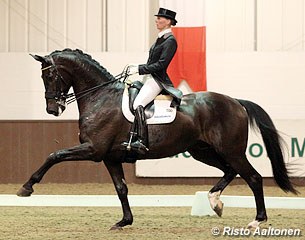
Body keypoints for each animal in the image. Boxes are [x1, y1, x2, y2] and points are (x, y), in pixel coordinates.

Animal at [15, 47, 296, 230]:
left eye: (50, 75)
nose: (53, 110)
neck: (100, 98)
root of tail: (236, 101)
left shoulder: (93, 150)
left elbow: (55, 155)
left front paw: (26, 187)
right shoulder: (110, 157)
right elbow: (121, 189)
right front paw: (124, 221)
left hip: (231, 150)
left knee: (253, 177)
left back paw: (257, 220)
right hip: (203, 151)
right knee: (230, 171)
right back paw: (214, 202)